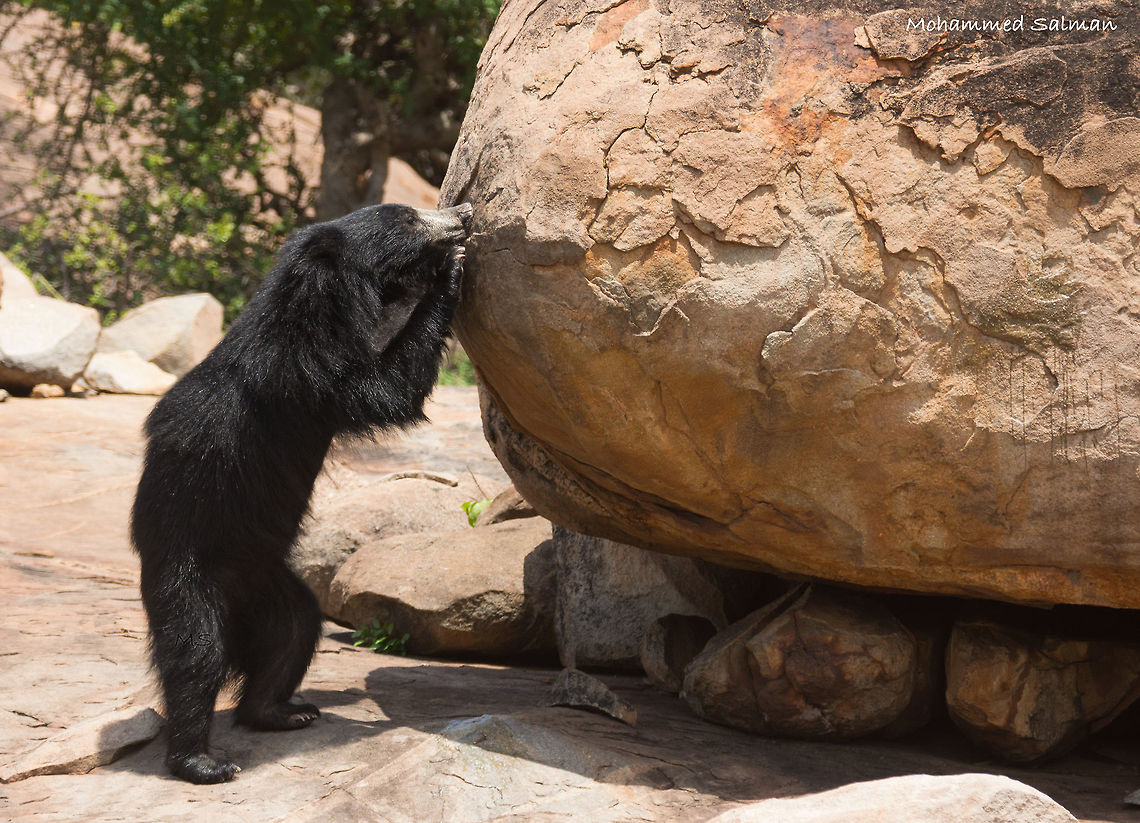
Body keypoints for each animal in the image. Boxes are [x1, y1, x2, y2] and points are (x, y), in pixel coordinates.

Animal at [130, 202, 473, 784]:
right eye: (406, 220)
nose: (461, 213)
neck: (314, 310)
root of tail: (238, 595)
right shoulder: (305, 374)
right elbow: (387, 391)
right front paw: (451, 270)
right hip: (185, 573)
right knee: (196, 656)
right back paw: (202, 761)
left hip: (272, 585)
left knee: (294, 633)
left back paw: (281, 712)